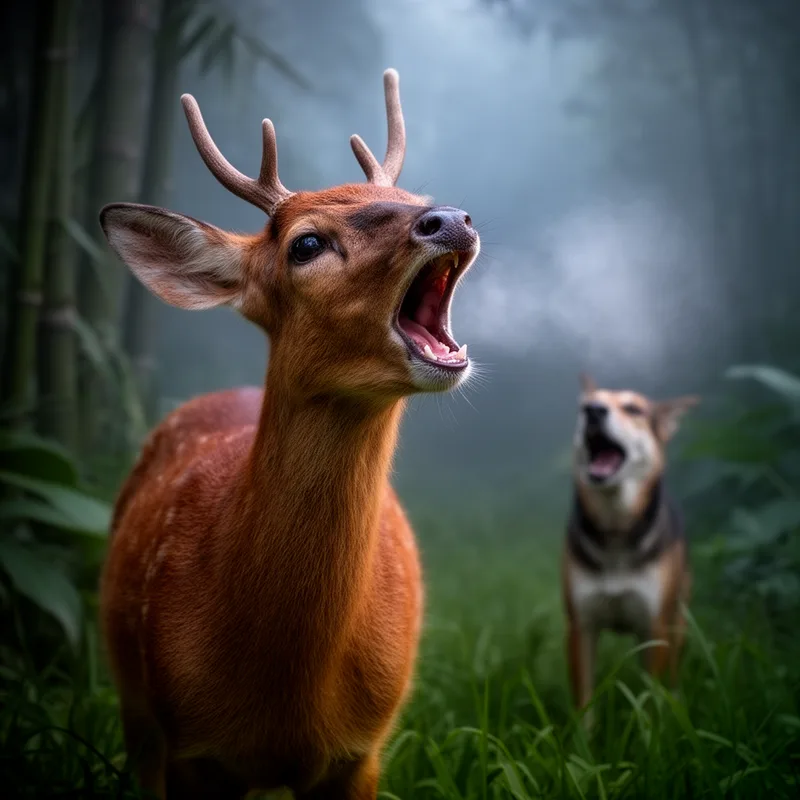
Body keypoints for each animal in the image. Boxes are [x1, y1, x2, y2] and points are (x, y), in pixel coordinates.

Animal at [98, 69, 480, 799]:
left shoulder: (361, 753)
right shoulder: (190, 751)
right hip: (135, 710)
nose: (450, 217)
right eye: (305, 243)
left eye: (412, 199)